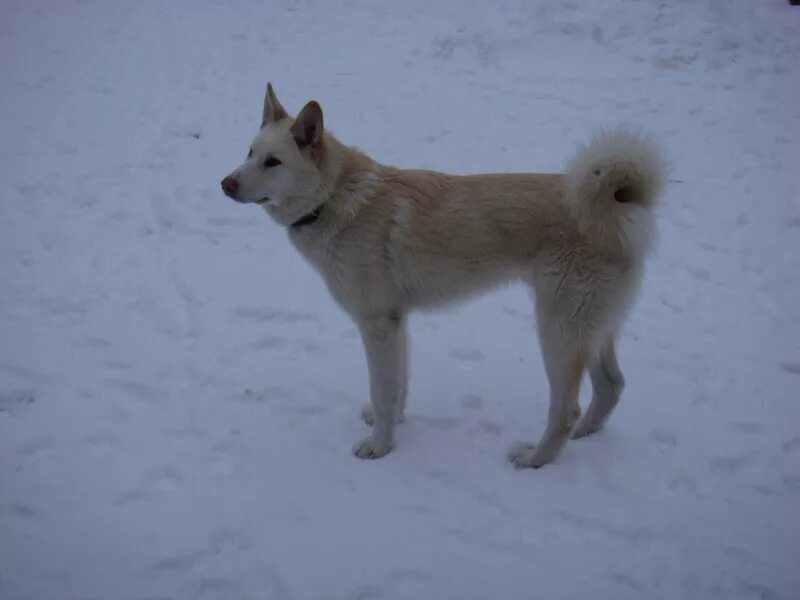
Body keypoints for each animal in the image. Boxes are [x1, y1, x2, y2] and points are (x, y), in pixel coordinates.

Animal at [222, 83, 664, 468]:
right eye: (250, 152)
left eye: (273, 162)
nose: (225, 184)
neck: (333, 198)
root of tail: (620, 203)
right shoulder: (395, 321)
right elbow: (397, 387)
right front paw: (392, 426)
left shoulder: (376, 323)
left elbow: (382, 388)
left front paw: (379, 448)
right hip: (592, 329)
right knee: (612, 386)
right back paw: (584, 435)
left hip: (557, 329)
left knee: (568, 407)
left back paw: (536, 459)